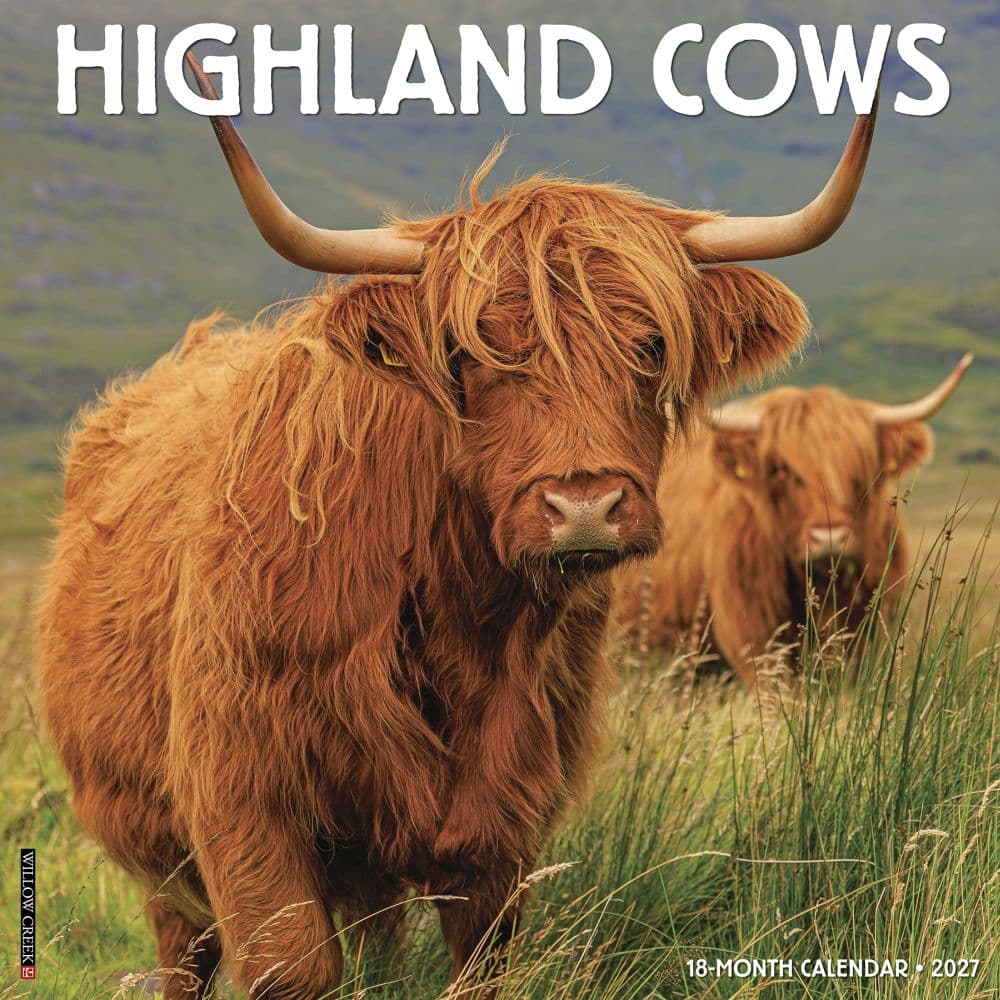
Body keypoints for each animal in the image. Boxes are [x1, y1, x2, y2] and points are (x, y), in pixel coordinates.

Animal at [37, 53, 877, 999]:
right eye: (474, 355)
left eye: (651, 345)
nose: (584, 507)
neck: (457, 614)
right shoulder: (239, 792)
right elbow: (293, 964)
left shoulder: (506, 813)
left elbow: (478, 958)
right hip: (154, 846)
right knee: (185, 949)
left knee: (375, 933)